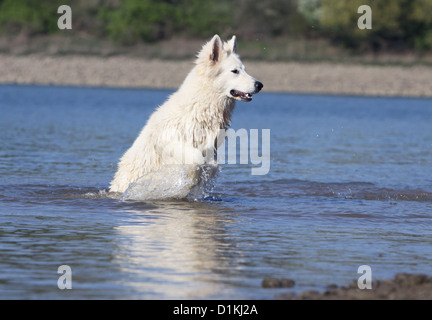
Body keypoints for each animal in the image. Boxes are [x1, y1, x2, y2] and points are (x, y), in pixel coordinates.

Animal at [109, 35, 262, 200]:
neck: (200, 107)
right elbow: (196, 160)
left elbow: (212, 165)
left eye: (244, 70)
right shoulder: (170, 140)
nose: (260, 85)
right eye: (235, 71)